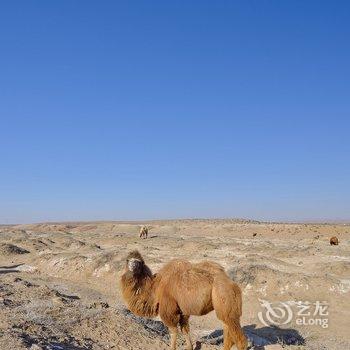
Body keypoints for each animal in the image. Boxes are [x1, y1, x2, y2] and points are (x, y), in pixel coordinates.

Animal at [119, 250, 247, 348]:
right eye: (128, 260)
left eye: (138, 262)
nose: (132, 266)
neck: (155, 287)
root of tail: (231, 282)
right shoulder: (183, 310)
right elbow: (185, 328)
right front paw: (189, 347)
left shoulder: (169, 309)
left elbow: (173, 331)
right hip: (223, 305)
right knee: (227, 329)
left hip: (224, 295)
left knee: (240, 339)